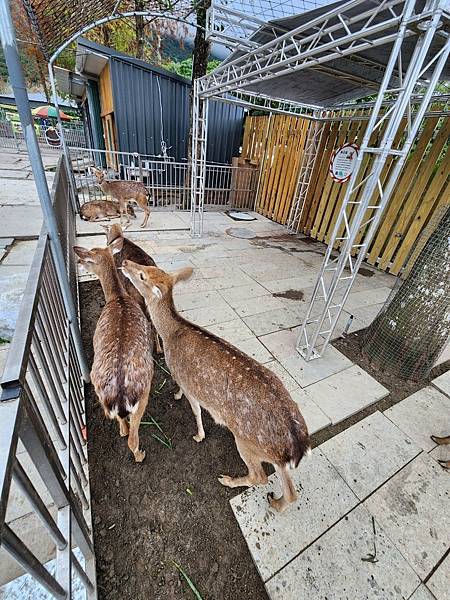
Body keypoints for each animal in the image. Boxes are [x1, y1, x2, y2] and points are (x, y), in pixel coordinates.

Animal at [72, 241, 153, 462]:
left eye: (90, 256)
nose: (78, 260)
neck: (118, 298)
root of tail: (119, 394)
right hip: (144, 392)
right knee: (132, 436)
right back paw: (140, 454)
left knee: (124, 427)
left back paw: (127, 437)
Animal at [121, 262, 312, 510]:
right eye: (148, 266)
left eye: (142, 275)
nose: (125, 263)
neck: (170, 334)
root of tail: (298, 447)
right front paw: (176, 396)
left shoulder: (189, 384)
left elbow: (196, 410)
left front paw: (198, 435)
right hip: (276, 458)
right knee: (291, 492)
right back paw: (275, 502)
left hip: (247, 442)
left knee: (259, 477)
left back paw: (228, 480)